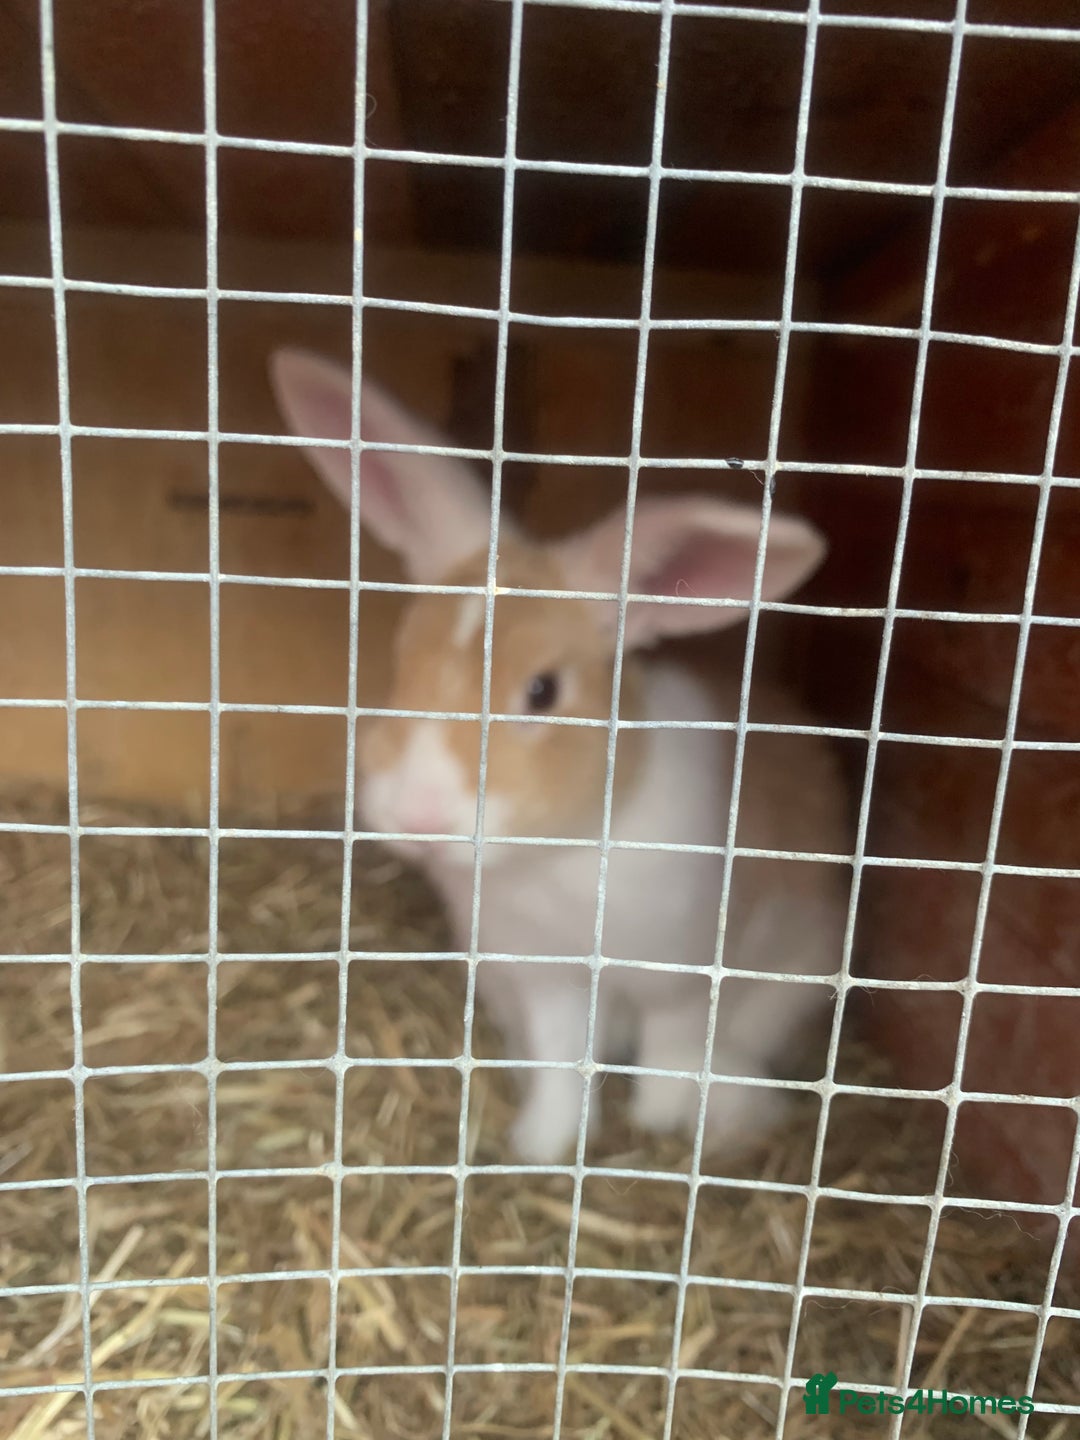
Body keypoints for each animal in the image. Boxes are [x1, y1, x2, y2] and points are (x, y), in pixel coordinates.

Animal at [270, 348, 847, 1165]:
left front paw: (661, 1121)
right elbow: (560, 1060)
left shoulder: (680, 973)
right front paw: (542, 1145)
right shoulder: (543, 979)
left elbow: (671, 1046)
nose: (418, 817)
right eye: (402, 661)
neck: (560, 854)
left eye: (542, 691)